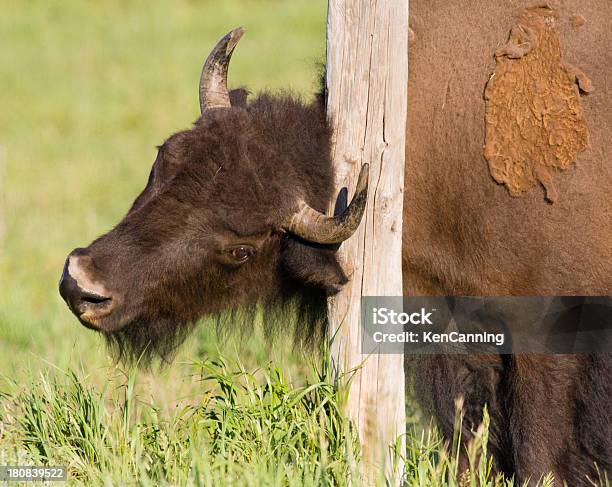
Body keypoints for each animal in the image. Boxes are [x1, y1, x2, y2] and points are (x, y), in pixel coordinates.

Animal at [59, 2, 608, 484]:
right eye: (165, 158)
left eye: (241, 249)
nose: (83, 283)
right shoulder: (457, 341)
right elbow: (472, 443)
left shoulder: (545, 334)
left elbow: (538, 450)